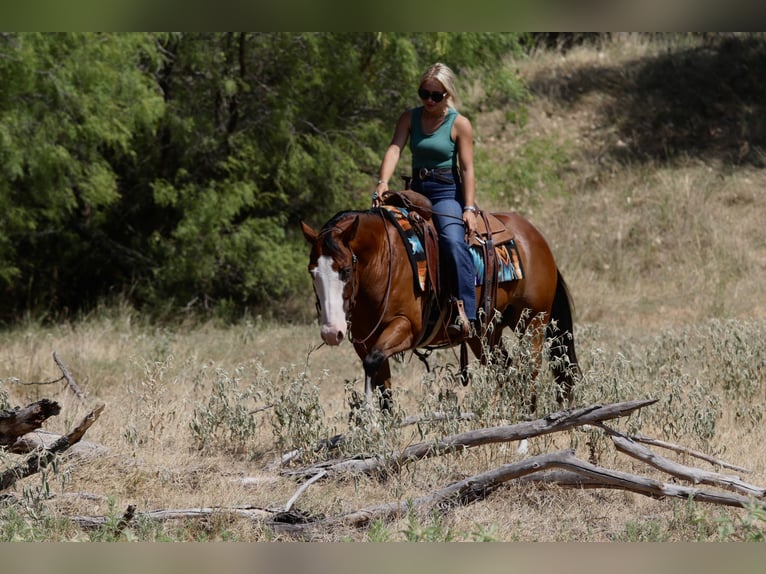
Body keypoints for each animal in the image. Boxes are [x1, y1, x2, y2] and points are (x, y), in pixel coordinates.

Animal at [300, 203, 580, 412]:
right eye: (312, 272)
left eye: (346, 270)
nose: (331, 332)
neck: (383, 259)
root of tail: (536, 239)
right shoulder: (365, 341)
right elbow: (382, 385)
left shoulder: (407, 327)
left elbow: (373, 364)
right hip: (485, 334)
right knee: (506, 371)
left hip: (533, 322)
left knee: (529, 372)